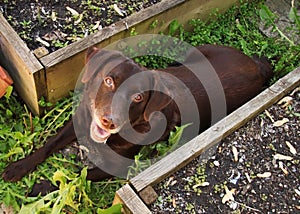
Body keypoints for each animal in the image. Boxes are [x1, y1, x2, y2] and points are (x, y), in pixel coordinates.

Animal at [1, 44, 272, 189]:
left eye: (138, 97)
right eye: (108, 81)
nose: (109, 120)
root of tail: (256, 66)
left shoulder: (116, 166)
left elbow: (79, 173)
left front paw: (39, 187)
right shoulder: (79, 120)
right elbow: (49, 144)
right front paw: (18, 167)